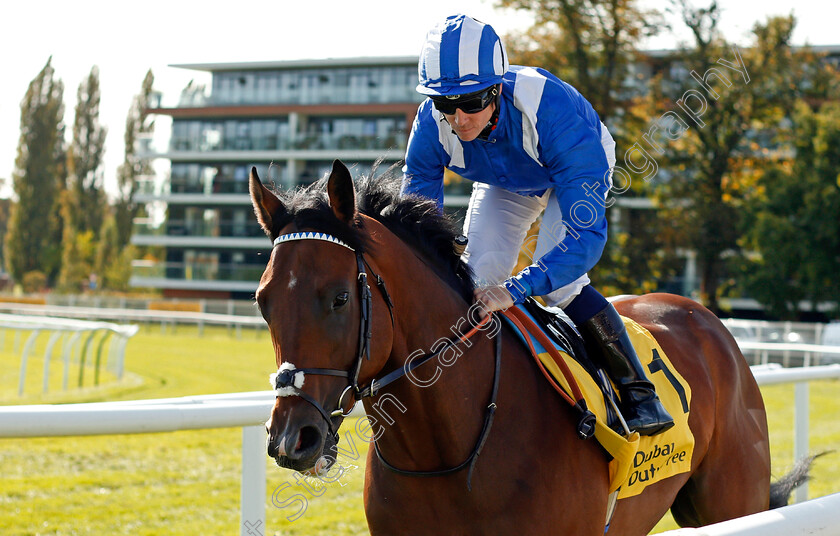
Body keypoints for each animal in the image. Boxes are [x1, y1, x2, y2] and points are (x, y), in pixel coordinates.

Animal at [249, 160, 796, 536]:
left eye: (339, 298)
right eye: (263, 301)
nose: (291, 440)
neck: (451, 448)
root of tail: (706, 319)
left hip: (733, 501)